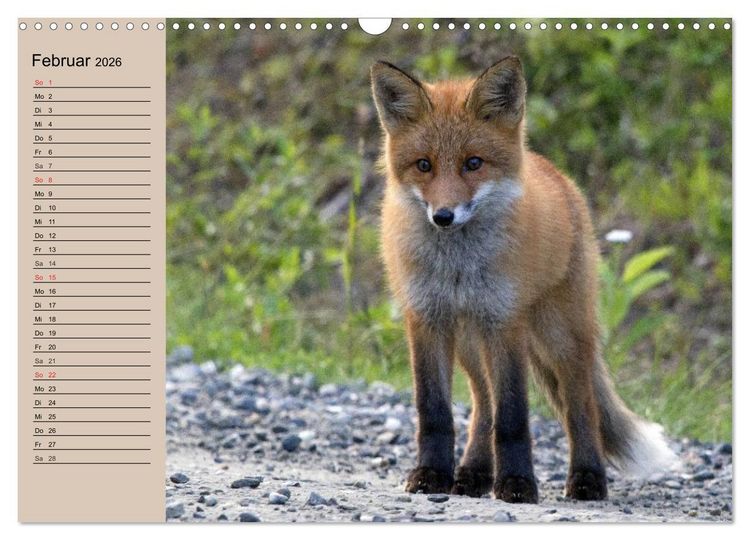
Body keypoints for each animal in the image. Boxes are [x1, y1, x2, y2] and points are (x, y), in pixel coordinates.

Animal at [370, 57, 678, 503]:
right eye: (424, 165)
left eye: (473, 163)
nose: (443, 216)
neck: (458, 266)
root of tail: (554, 171)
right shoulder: (427, 319)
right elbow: (435, 412)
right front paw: (431, 475)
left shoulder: (505, 321)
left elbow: (514, 416)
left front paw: (517, 483)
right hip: (470, 341)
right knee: (483, 405)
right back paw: (473, 474)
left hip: (558, 334)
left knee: (581, 407)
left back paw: (587, 478)